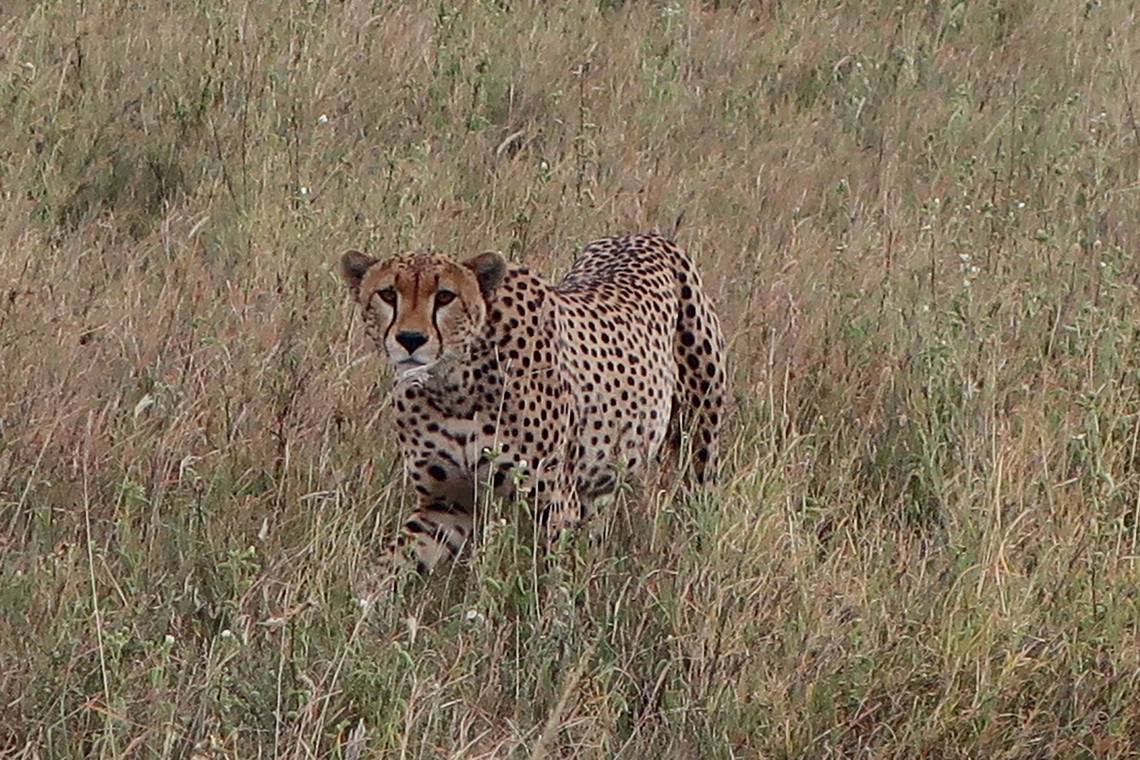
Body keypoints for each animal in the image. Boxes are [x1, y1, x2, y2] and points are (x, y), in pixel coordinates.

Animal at [342, 232, 725, 587]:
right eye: (388, 294)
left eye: (445, 297)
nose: (410, 339)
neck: (453, 382)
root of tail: (641, 234)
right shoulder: (447, 503)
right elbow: (390, 565)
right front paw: (359, 605)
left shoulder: (555, 502)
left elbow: (555, 582)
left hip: (699, 440)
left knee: (700, 500)